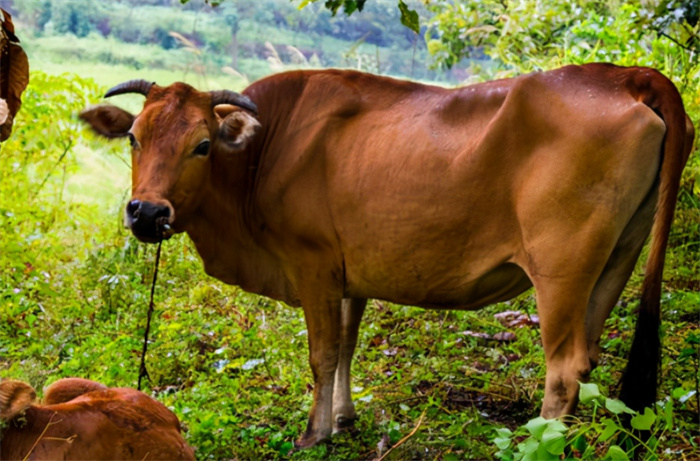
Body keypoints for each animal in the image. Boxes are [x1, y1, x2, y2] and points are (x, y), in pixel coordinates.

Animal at [82, 62, 696, 446]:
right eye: (134, 136)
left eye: (203, 145)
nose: (147, 212)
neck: (263, 152)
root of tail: (626, 74)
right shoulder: (348, 272)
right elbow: (347, 348)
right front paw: (344, 417)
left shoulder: (311, 264)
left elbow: (322, 354)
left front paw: (315, 432)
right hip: (615, 259)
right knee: (587, 361)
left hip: (561, 271)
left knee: (565, 368)